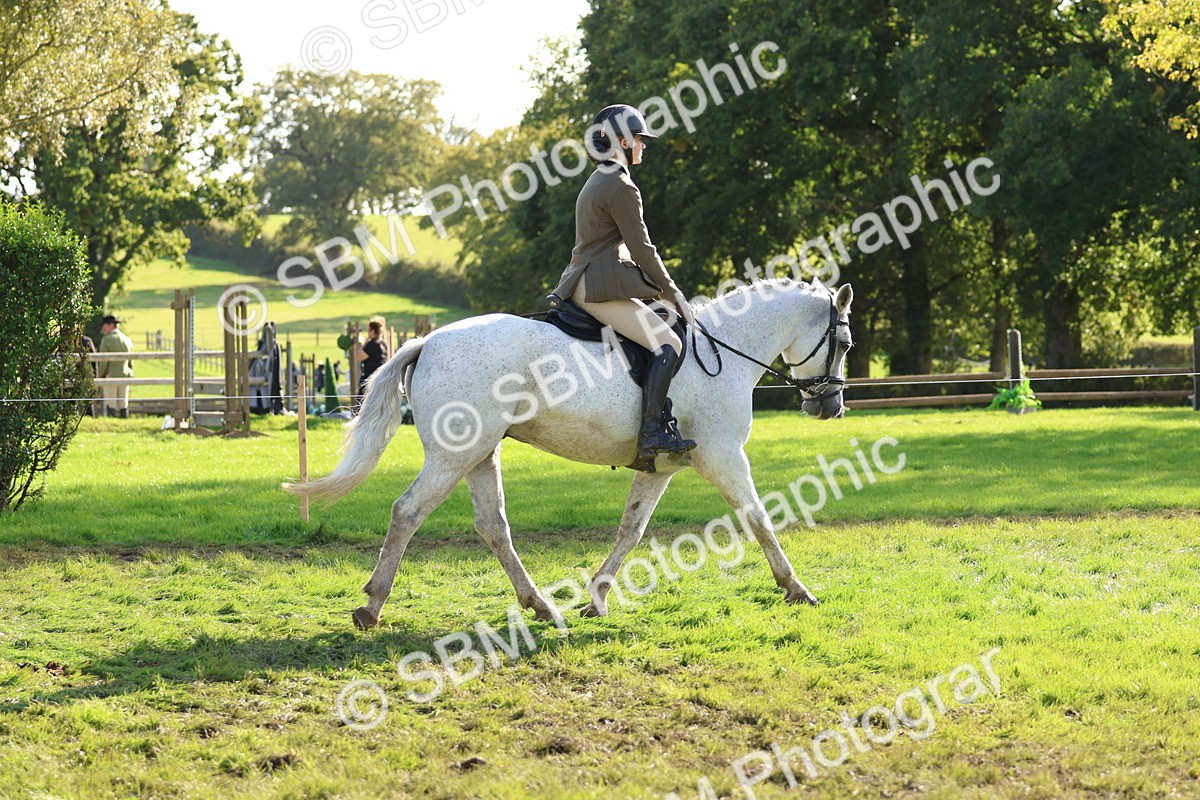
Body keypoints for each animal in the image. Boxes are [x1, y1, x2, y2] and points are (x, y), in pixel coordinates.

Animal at [284, 277, 854, 629]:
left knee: (493, 526)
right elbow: (759, 517)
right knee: (408, 512)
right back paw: (372, 605)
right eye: (845, 344)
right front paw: (796, 588)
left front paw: (596, 599)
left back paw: (541, 607)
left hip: (478, 454)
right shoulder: (724, 456)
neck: (725, 348)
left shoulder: (660, 467)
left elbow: (630, 530)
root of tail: (427, 342)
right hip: (452, 456)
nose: (831, 406)